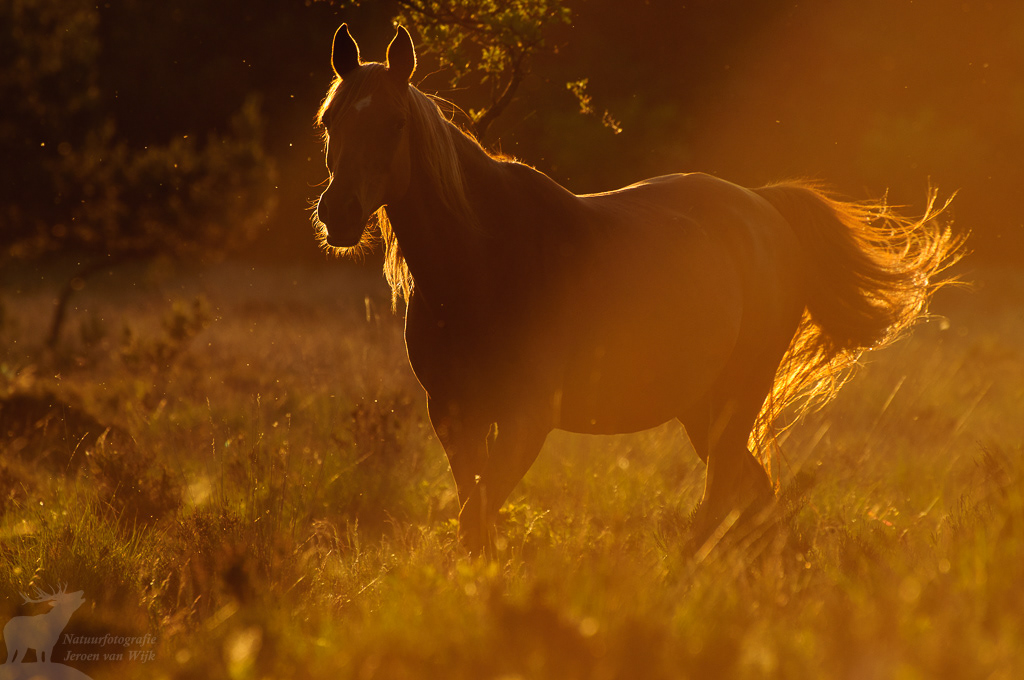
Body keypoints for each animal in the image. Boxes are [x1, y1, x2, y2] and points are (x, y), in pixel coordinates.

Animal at [313, 24, 961, 552]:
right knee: (754, 496)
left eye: (394, 123)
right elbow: (475, 519)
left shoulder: (526, 419)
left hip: (737, 396)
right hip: (703, 408)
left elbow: (481, 514)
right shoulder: (454, 415)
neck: (482, 264)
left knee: (726, 497)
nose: (338, 213)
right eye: (330, 121)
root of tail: (764, 206)